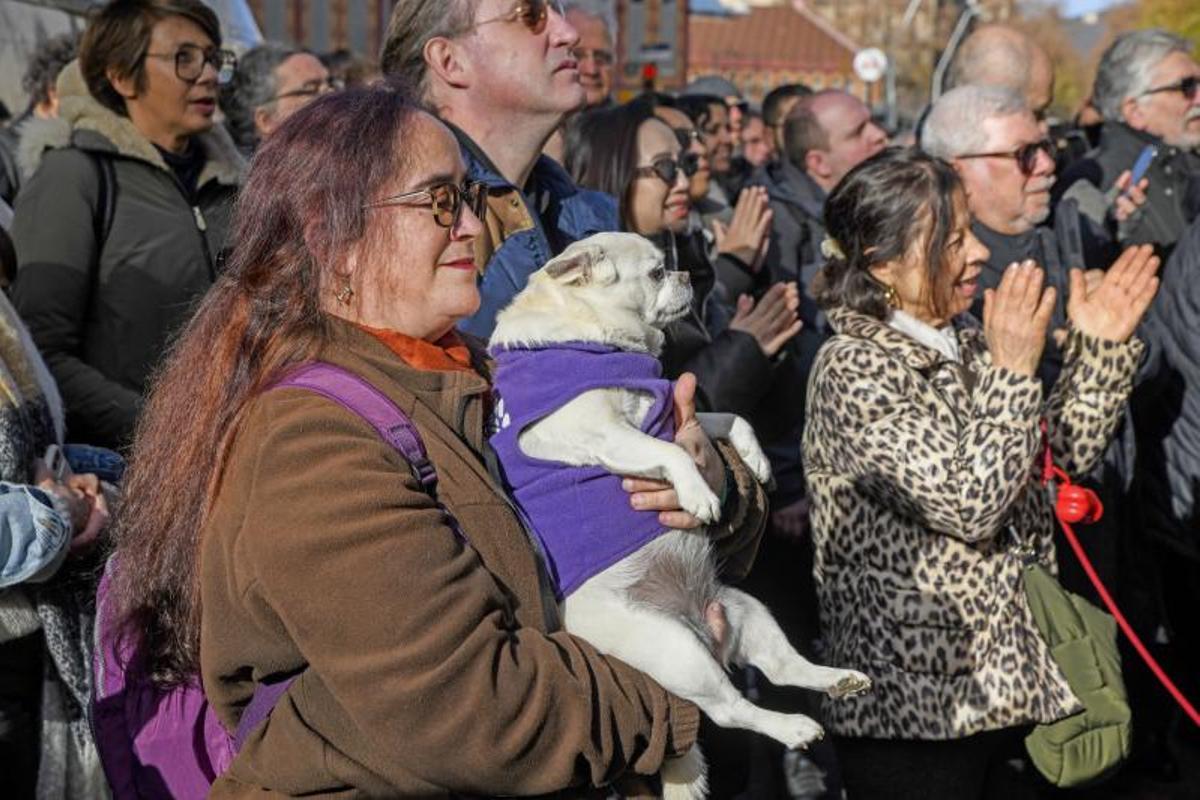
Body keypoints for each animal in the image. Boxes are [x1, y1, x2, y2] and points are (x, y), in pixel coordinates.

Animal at [487, 232, 873, 800]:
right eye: (654, 273)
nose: (687, 273)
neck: (594, 336)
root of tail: (693, 622)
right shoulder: (606, 433)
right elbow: (669, 453)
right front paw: (697, 494)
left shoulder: (676, 410)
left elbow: (730, 419)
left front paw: (754, 462)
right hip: (678, 653)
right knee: (731, 708)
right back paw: (794, 727)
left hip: (744, 608)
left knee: (783, 668)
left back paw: (836, 679)